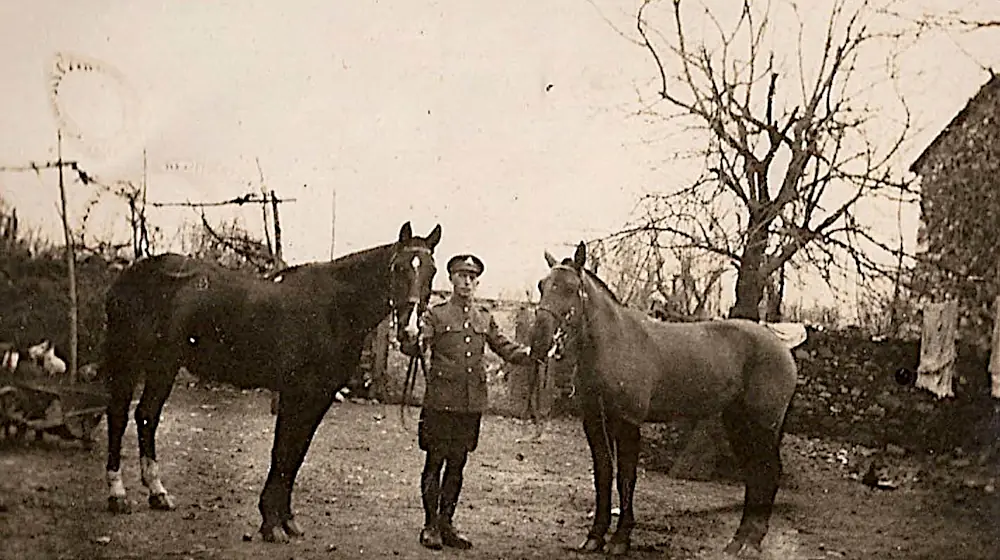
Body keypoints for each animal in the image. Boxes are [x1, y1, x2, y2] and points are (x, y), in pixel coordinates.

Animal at [104, 222, 442, 544]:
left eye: (431, 270)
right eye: (399, 267)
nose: (412, 333)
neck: (333, 308)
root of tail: (129, 275)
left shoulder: (319, 397)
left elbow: (296, 455)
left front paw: (287, 520)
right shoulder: (295, 393)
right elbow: (282, 453)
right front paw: (271, 524)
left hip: (164, 364)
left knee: (146, 416)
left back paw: (157, 492)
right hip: (128, 359)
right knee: (118, 416)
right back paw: (118, 495)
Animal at [532, 243, 796, 556]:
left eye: (571, 288)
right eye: (542, 285)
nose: (539, 339)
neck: (613, 342)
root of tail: (781, 345)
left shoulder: (627, 423)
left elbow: (625, 478)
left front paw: (620, 539)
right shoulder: (594, 422)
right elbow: (603, 475)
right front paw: (595, 537)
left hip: (763, 426)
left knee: (767, 472)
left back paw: (752, 541)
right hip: (738, 424)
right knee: (755, 474)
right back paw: (738, 540)